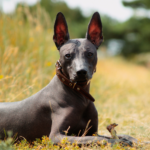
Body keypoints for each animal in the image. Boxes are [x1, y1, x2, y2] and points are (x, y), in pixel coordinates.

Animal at [0, 12, 137, 146]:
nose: (81, 72)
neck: (81, 97)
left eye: (90, 54)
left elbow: (111, 136)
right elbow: (97, 139)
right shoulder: (57, 136)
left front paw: (127, 138)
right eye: (68, 55)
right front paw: (118, 141)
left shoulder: (92, 131)